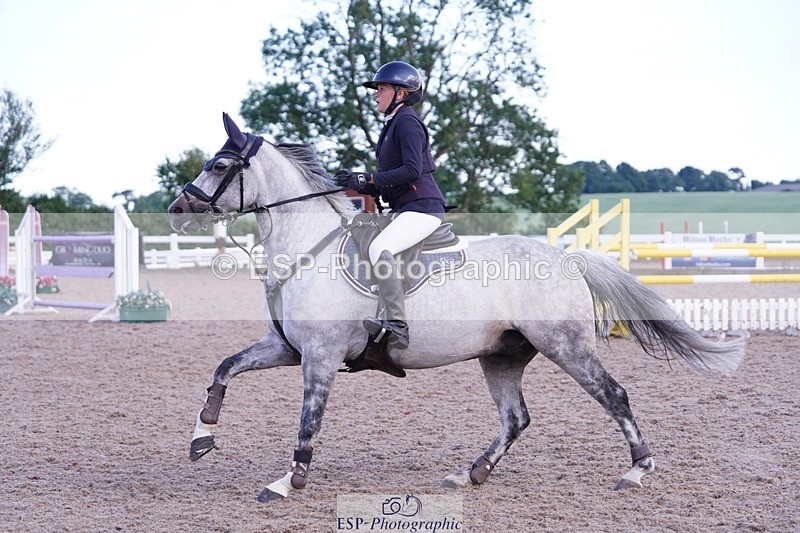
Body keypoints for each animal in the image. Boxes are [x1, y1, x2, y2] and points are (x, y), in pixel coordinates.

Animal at [168, 113, 745, 503]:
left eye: (220, 164)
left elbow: (309, 420)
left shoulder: (320, 355)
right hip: (503, 356)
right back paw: (470, 473)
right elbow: (224, 368)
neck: (309, 245)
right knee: (516, 418)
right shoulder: (286, 348)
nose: (176, 209)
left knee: (614, 396)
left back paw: (636, 470)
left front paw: (289, 480)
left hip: (566, 346)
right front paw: (202, 438)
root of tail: (567, 258)